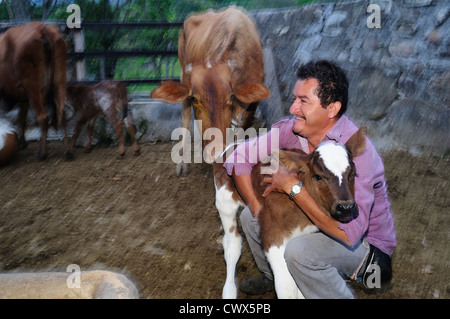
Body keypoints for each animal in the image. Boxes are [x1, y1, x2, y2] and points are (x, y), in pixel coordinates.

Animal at [0, 22, 69, 161]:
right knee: (61, 113)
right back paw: (67, 151)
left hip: (33, 87)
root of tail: (42, 28)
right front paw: (22, 143)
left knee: (43, 117)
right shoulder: (23, 96)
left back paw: (41, 153)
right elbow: (21, 118)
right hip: (59, 81)